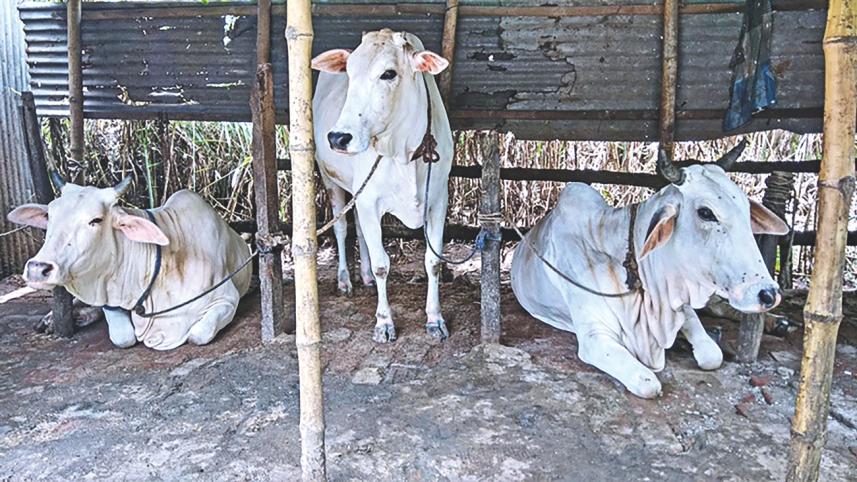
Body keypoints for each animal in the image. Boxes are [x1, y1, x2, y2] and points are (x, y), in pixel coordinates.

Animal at [6, 175, 251, 350]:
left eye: (96, 220)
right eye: (49, 215)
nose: (38, 268)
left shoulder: (227, 298)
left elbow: (197, 335)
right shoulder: (110, 296)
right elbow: (123, 337)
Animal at [311, 29, 454, 343]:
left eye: (388, 73)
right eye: (349, 71)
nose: (338, 138)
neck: (405, 152)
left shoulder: (439, 200)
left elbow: (433, 262)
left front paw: (435, 319)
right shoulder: (370, 201)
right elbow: (381, 264)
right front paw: (384, 323)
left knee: (360, 230)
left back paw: (363, 276)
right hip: (330, 180)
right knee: (342, 228)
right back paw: (345, 280)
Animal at [510, 142, 789, 398]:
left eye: (745, 208)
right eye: (706, 213)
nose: (768, 294)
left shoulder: (681, 304)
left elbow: (712, 355)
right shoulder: (594, 336)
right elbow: (649, 385)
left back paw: (778, 321)